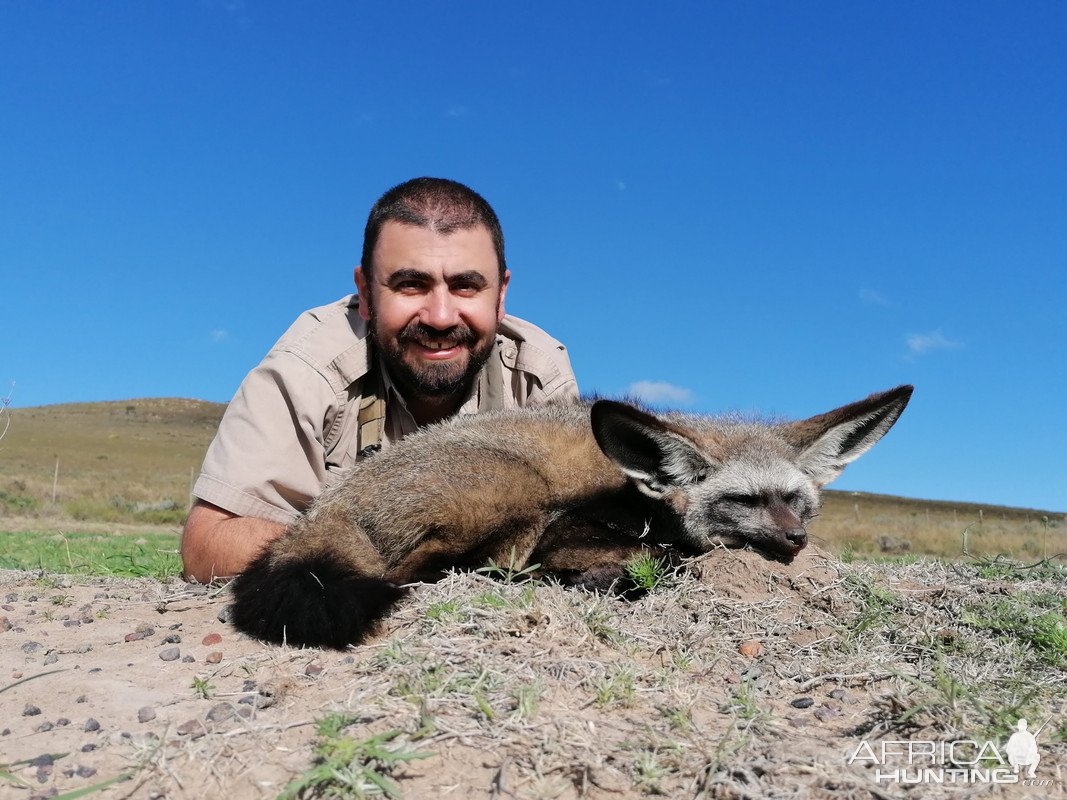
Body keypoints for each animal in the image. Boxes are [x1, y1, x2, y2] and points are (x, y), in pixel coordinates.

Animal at [231, 384, 909, 652]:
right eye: (745, 501)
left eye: (796, 501)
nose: (796, 539)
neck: (642, 501)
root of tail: (330, 502)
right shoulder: (565, 527)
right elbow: (659, 559)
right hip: (513, 486)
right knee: (428, 570)